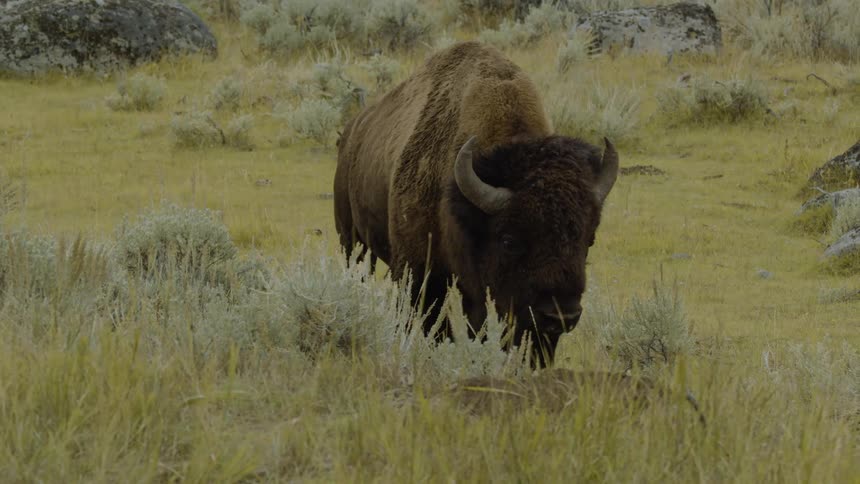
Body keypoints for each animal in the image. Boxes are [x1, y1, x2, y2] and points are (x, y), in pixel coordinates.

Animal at [334, 41, 618, 365]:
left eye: (589, 240)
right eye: (509, 241)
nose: (561, 316)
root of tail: (350, 132)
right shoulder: (421, 273)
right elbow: (435, 325)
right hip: (352, 242)